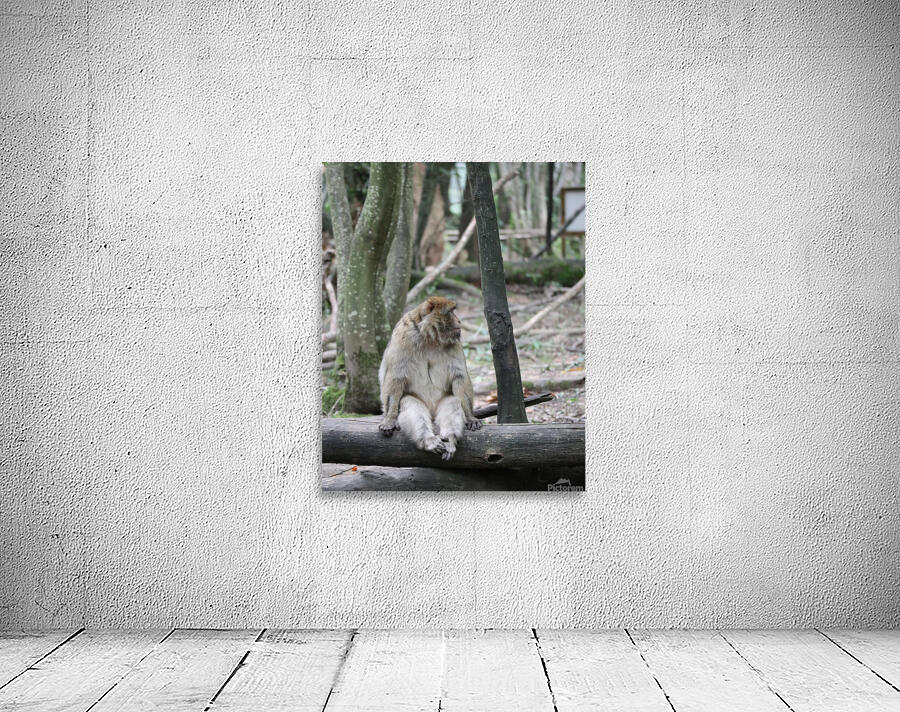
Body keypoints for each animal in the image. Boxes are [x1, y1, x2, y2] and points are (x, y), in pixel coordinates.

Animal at [378, 296, 482, 460]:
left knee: (453, 401)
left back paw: (449, 439)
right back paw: (428, 440)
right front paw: (389, 419)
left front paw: (470, 417)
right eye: (451, 312)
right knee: (409, 402)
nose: (459, 321)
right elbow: (395, 378)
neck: (429, 337)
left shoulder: (455, 343)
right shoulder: (403, 337)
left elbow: (459, 377)